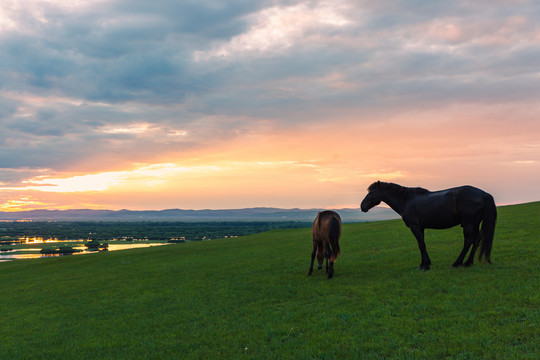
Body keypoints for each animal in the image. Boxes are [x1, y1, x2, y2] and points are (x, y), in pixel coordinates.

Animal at [360, 183, 496, 270]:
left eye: (372, 192)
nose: (362, 206)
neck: (406, 200)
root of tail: (483, 194)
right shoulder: (420, 227)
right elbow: (421, 244)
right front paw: (424, 263)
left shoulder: (414, 226)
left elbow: (421, 244)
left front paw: (425, 266)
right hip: (475, 224)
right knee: (476, 240)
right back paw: (468, 262)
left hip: (468, 224)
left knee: (468, 241)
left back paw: (457, 263)